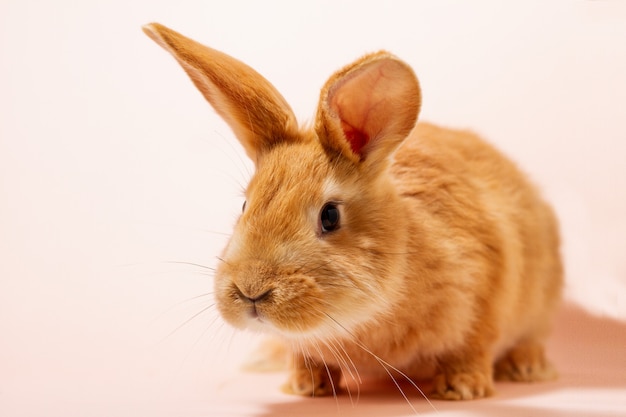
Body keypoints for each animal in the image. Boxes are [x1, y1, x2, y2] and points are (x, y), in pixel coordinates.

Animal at [144, 22, 564, 400]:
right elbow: (305, 357)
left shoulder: (485, 299)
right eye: (246, 204)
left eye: (330, 216)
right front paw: (306, 387)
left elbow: (470, 349)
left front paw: (462, 390)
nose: (251, 291)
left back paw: (526, 367)